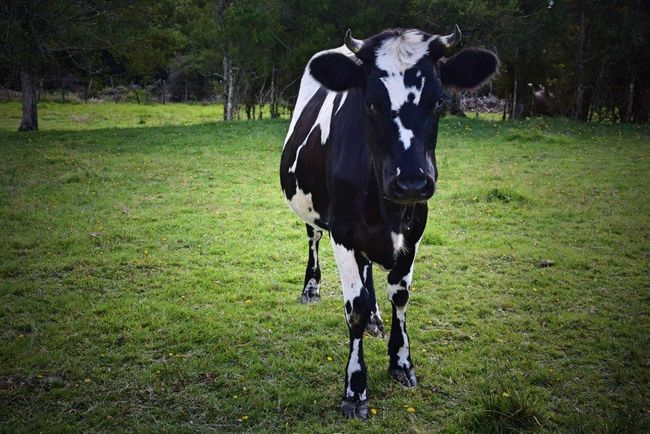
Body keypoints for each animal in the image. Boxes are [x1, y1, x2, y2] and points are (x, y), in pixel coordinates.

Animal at [278, 25, 496, 418]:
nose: (411, 182)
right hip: (312, 209)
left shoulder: (416, 229)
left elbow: (400, 294)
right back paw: (311, 289)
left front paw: (401, 362)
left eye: (439, 102)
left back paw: (377, 321)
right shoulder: (343, 231)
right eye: (370, 103)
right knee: (313, 240)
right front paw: (355, 389)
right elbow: (355, 308)